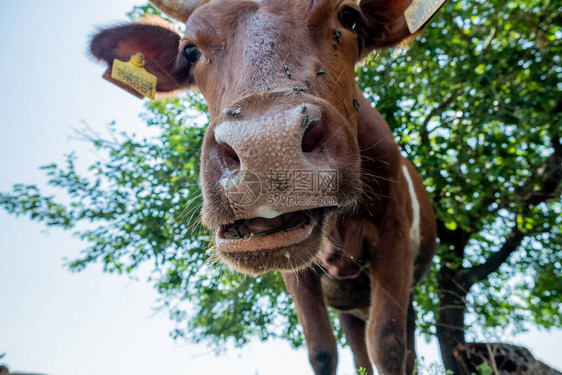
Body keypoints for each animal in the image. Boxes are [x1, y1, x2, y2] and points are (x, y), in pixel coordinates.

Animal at [88, 1, 438, 374]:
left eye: (349, 17)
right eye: (190, 51)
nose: (267, 146)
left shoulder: (394, 234)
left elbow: (388, 343)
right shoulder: (297, 272)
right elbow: (322, 351)